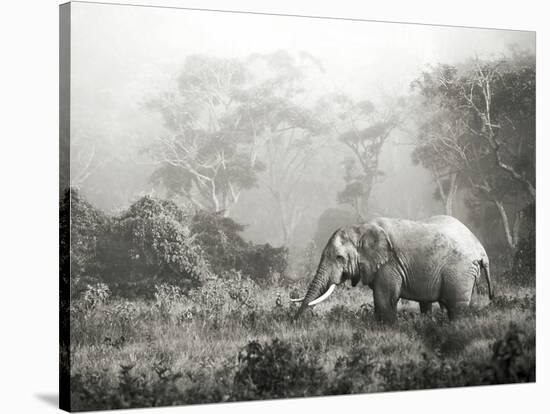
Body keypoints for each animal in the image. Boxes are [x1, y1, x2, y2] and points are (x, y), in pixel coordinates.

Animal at [294, 215, 496, 322]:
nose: (295, 321)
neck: (360, 228)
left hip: (460, 270)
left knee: (456, 307)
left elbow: (384, 299)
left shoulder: (389, 264)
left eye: (339, 258)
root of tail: (481, 248)